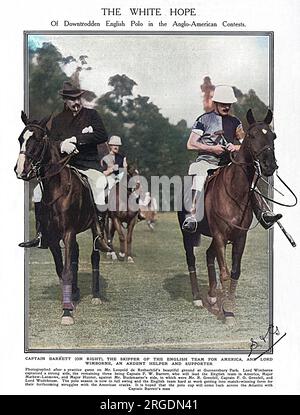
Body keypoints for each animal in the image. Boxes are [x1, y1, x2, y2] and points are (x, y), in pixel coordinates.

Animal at [14, 112, 110, 326]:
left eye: (37, 140)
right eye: (20, 139)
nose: (20, 170)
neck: (56, 188)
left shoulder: (68, 232)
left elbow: (66, 271)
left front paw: (67, 312)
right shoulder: (52, 236)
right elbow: (61, 269)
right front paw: (70, 299)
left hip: (95, 229)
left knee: (95, 256)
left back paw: (95, 296)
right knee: (75, 254)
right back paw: (75, 292)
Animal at [178, 109, 278, 324]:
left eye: (273, 136)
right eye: (252, 135)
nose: (269, 166)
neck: (235, 192)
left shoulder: (239, 237)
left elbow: (235, 271)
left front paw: (228, 304)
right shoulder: (220, 235)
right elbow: (224, 272)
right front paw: (228, 312)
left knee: (208, 254)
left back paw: (212, 296)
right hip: (188, 233)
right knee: (191, 259)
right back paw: (197, 298)